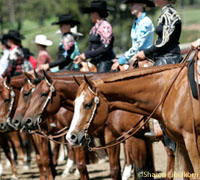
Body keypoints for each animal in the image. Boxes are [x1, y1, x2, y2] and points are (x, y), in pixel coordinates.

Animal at [66, 63, 200, 179]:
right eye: (74, 103)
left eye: (88, 104)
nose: (70, 137)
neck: (170, 91)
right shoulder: (181, 141)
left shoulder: (191, 140)